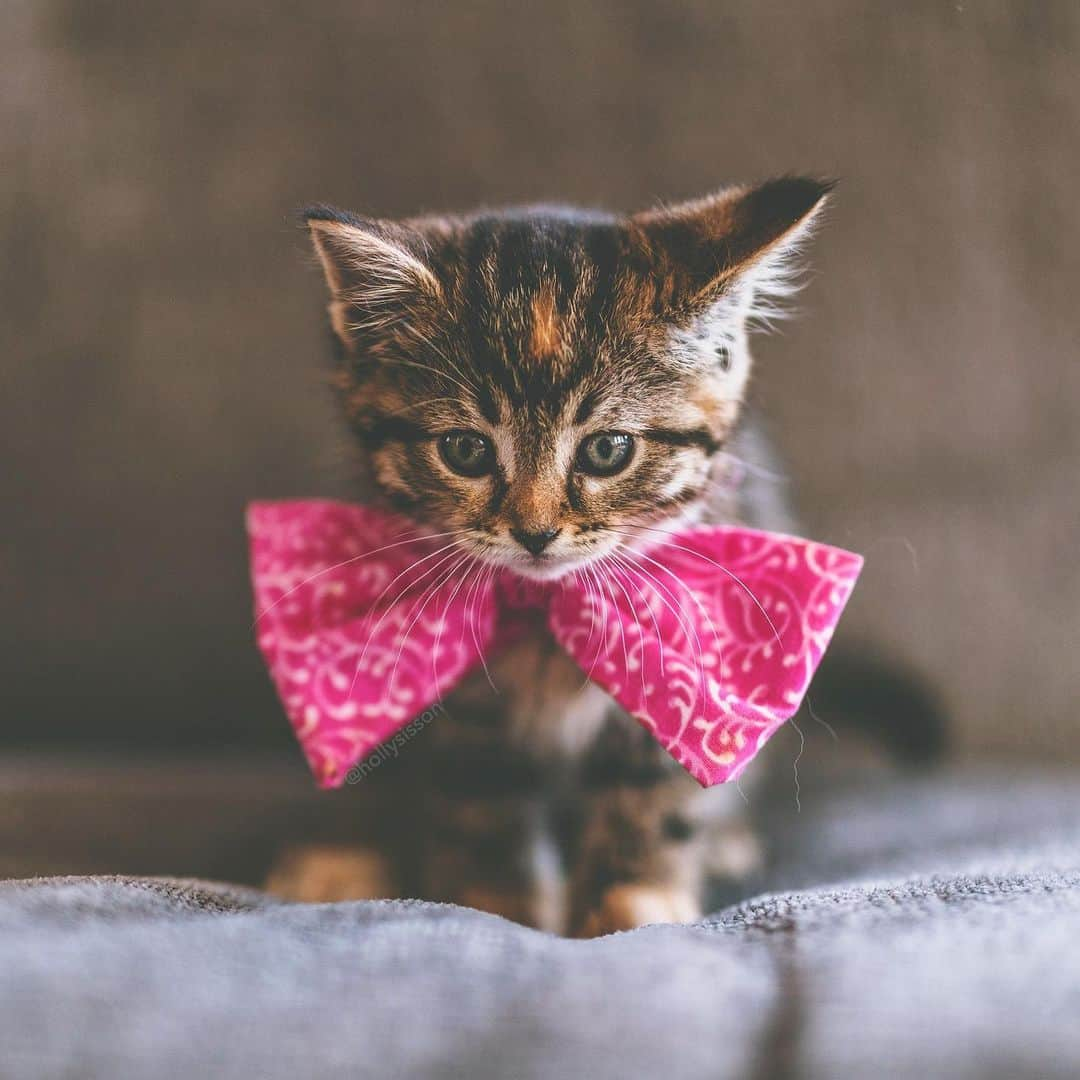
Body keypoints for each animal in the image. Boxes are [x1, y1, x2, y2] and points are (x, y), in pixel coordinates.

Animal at [267, 179, 825, 937]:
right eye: (465, 450)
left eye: (608, 450)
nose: (534, 532)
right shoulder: (466, 712)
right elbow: (482, 799)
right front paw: (497, 905)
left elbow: (655, 787)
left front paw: (633, 900)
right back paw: (339, 856)